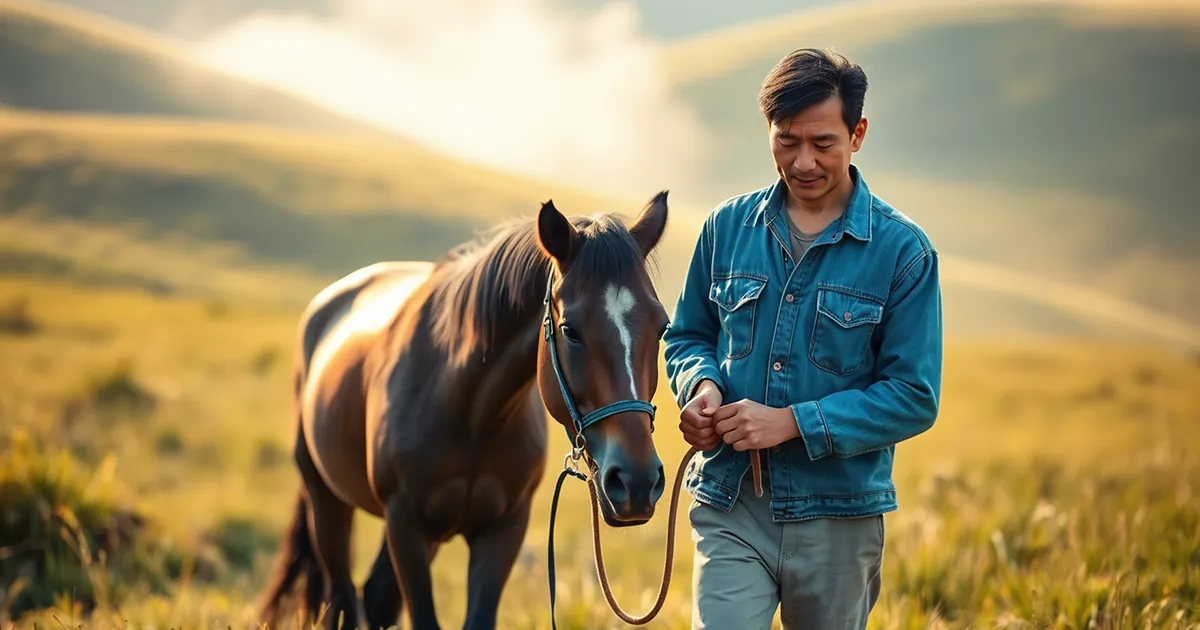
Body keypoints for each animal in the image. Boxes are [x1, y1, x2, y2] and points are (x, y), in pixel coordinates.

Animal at [256, 191, 673, 630]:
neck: (473, 414)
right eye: (570, 330)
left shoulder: (502, 531)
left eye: (661, 326)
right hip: (327, 500)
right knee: (340, 597)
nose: (637, 482)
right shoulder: (405, 525)